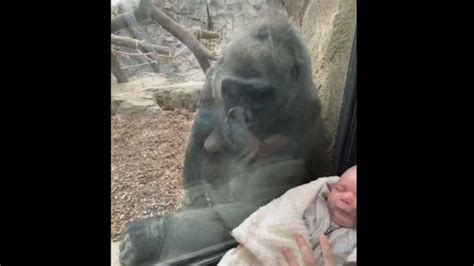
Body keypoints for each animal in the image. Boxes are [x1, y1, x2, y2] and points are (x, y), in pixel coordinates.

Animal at [119, 11, 330, 264]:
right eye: (232, 91)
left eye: (259, 96)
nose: (240, 116)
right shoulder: (213, 78)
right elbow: (200, 135)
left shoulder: (303, 119)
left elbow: (254, 211)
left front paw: (153, 235)